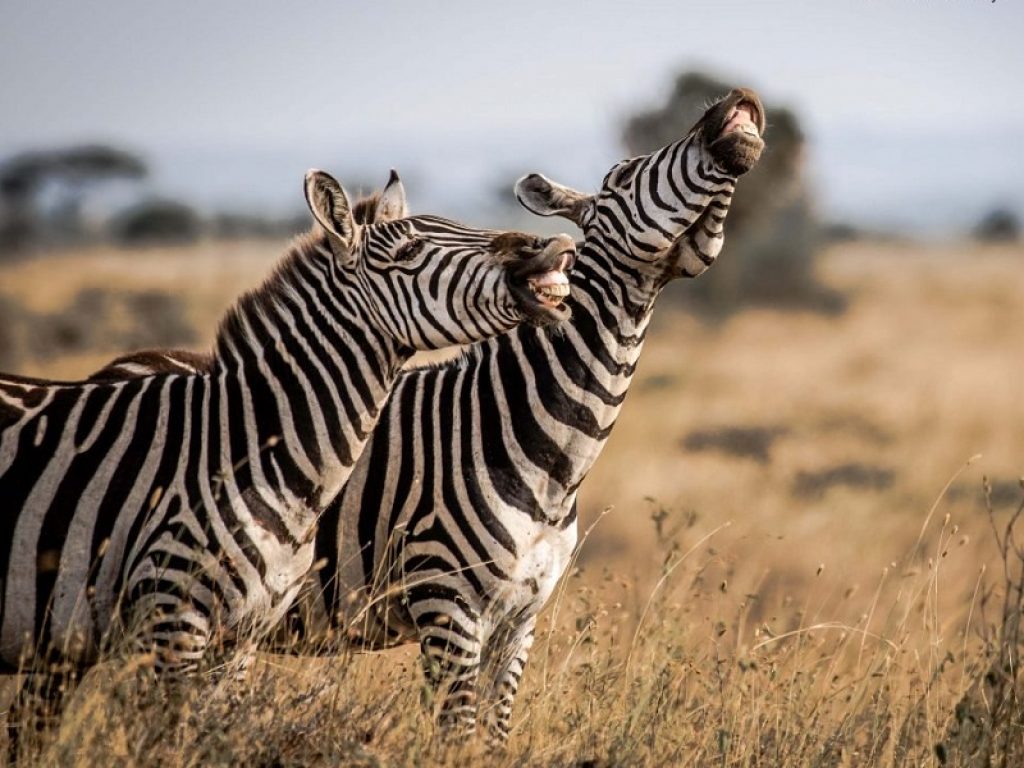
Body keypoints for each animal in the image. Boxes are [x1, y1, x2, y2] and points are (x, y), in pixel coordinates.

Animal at [86, 88, 766, 744]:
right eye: (624, 174)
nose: (736, 100)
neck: (543, 443)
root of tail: (118, 366)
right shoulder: (448, 603)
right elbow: (455, 736)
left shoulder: (520, 620)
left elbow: (493, 737)